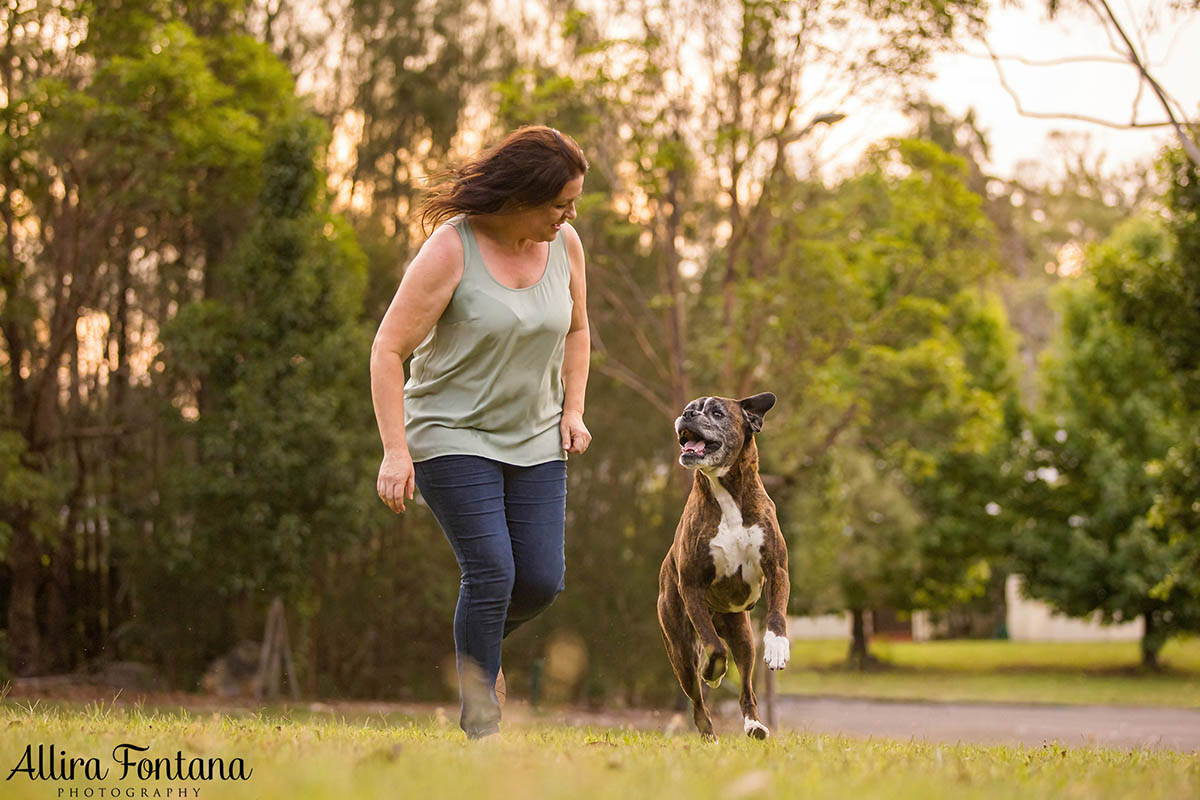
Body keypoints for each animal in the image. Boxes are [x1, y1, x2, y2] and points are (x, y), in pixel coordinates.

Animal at [657, 391, 787, 743]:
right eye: (689, 407)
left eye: (717, 412)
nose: (688, 414)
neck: (725, 493)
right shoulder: (691, 586)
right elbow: (714, 647)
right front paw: (713, 672)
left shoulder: (777, 569)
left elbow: (776, 614)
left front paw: (778, 647)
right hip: (678, 648)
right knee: (697, 701)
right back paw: (708, 731)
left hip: (743, 637)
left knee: (747, 690)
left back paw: (755, 725)